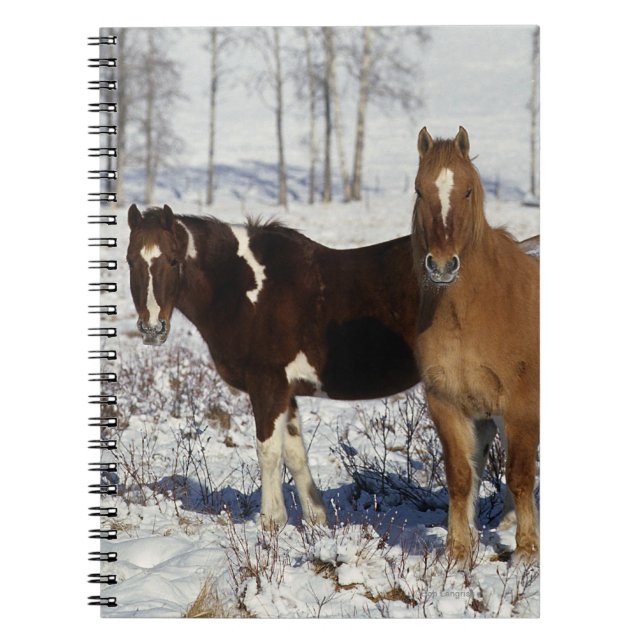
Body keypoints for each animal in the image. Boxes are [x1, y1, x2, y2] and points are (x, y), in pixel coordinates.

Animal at [126, 203, 539, 531]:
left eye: (173, 261)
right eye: (131, 261)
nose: (152, 329)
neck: (243, 289)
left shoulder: (266, 386)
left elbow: (268, 450)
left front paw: (270, 521)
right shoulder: (285, 391)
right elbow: (295, 452)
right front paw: (315, 519)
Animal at [411, 126, 540, 565]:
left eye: (467, 191)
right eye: (419, 190)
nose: (442, 265)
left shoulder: (522, 405)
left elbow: (519, 475)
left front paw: (527, 551)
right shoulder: (450, 403)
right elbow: (461, 475)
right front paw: (457, 550)